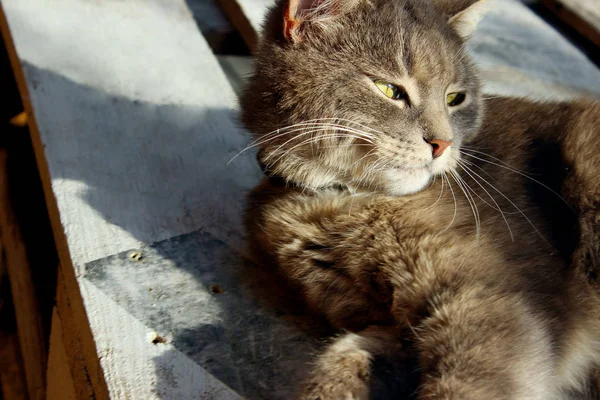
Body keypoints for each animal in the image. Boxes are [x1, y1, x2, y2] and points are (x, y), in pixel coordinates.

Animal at [238, 0, 600, 396]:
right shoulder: (393, 327)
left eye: (455, 98)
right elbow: (347, 358)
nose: (443, 144)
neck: (336, 200)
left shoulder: (490, 305)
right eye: (388, 90)